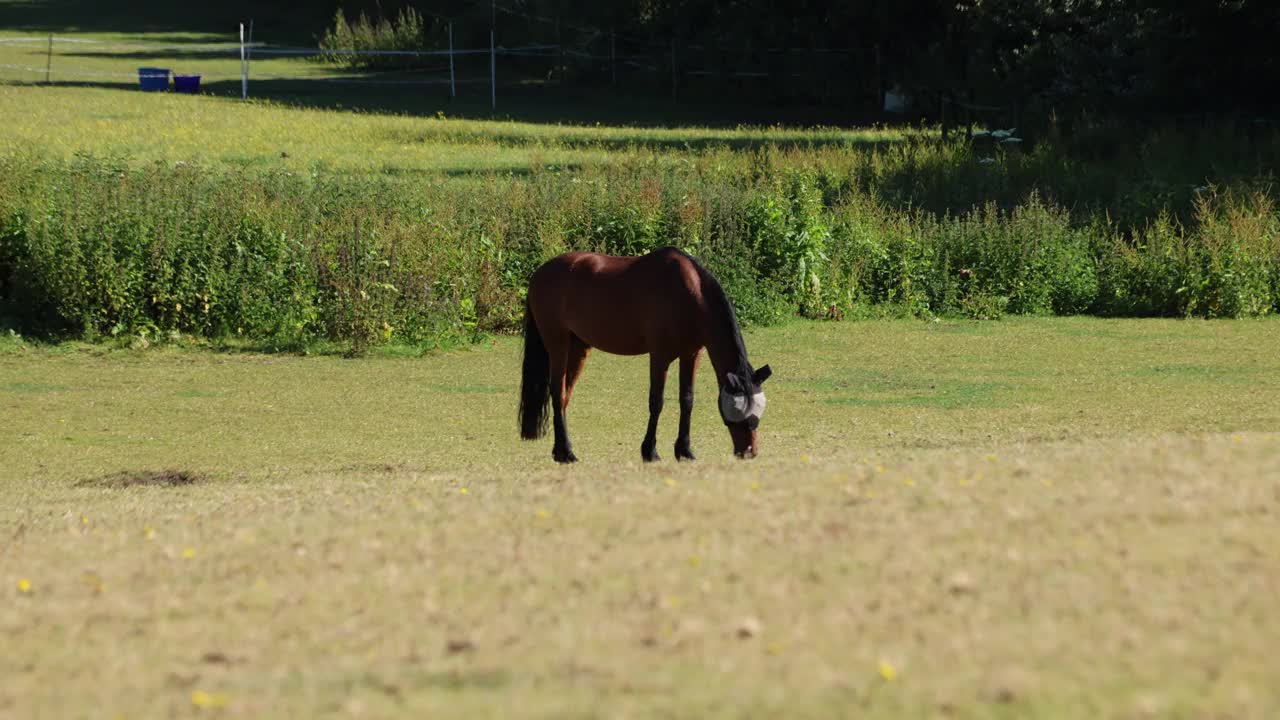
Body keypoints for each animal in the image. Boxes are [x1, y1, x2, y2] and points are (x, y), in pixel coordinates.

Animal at [517, 243, 768, 461]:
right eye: (741, 415)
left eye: (758, 413)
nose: (749, 452)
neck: (687, 294)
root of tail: (539, 274)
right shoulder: (660, 356)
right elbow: (656, 402)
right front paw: (650, 451)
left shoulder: (691, 355)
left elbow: (687, 400)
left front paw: (685, 450)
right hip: (557, 343)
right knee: (557, 393)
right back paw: (567, 453)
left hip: (578, 348)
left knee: (564, 395)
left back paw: (560, 451)